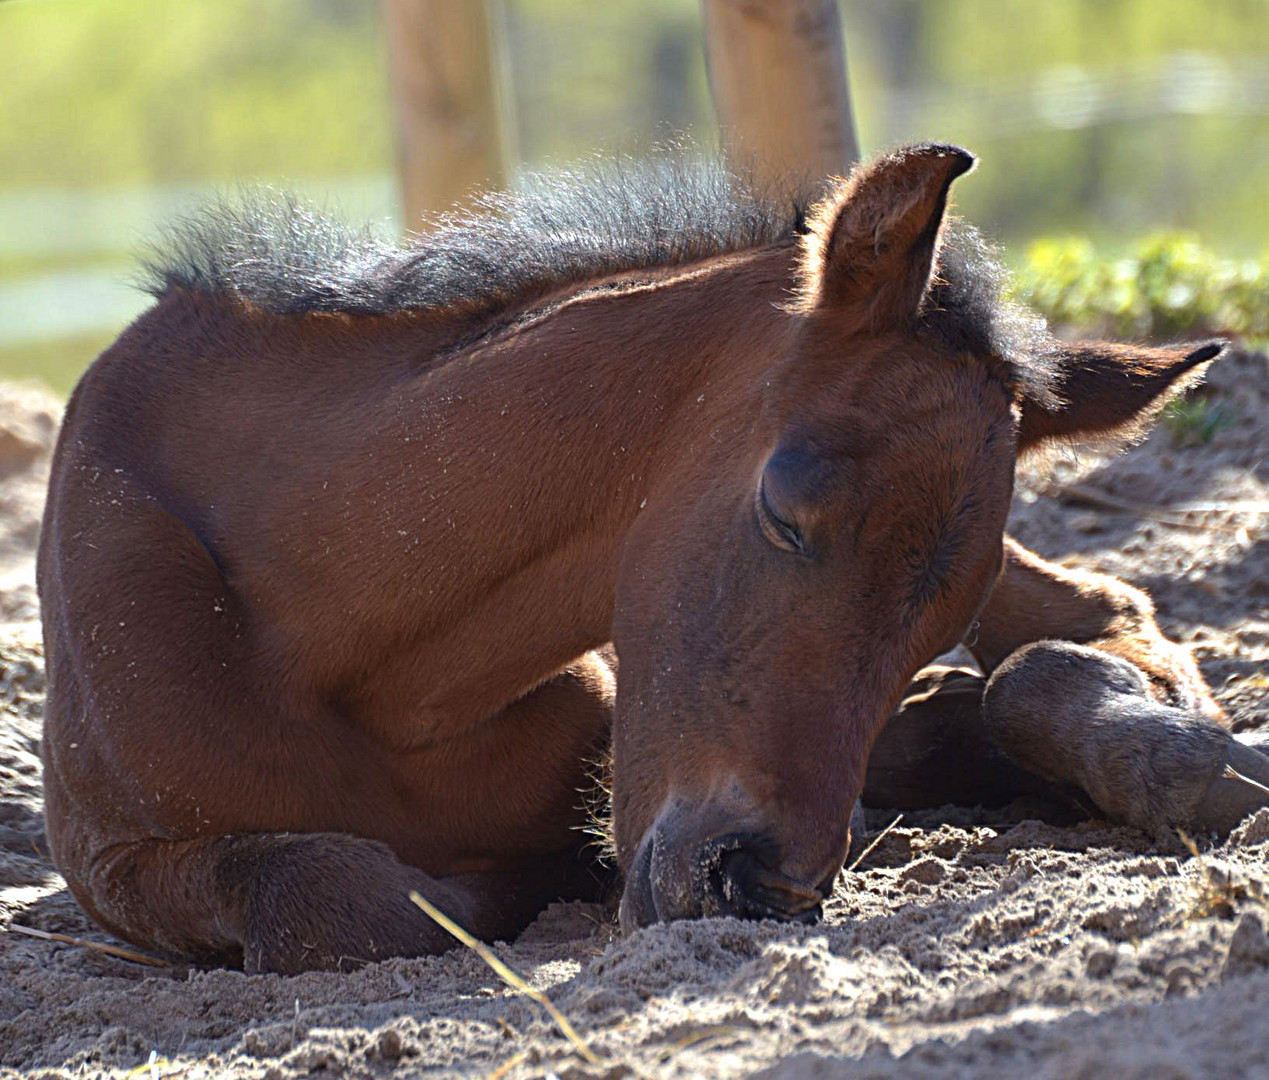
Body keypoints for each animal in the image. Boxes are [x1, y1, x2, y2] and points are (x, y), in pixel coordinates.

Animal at [37, 145, 1258, 969]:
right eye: (783, 506)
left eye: (938, 617)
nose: (755, 883)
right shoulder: (117, 860)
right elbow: (346, 896)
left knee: (1101, 614)